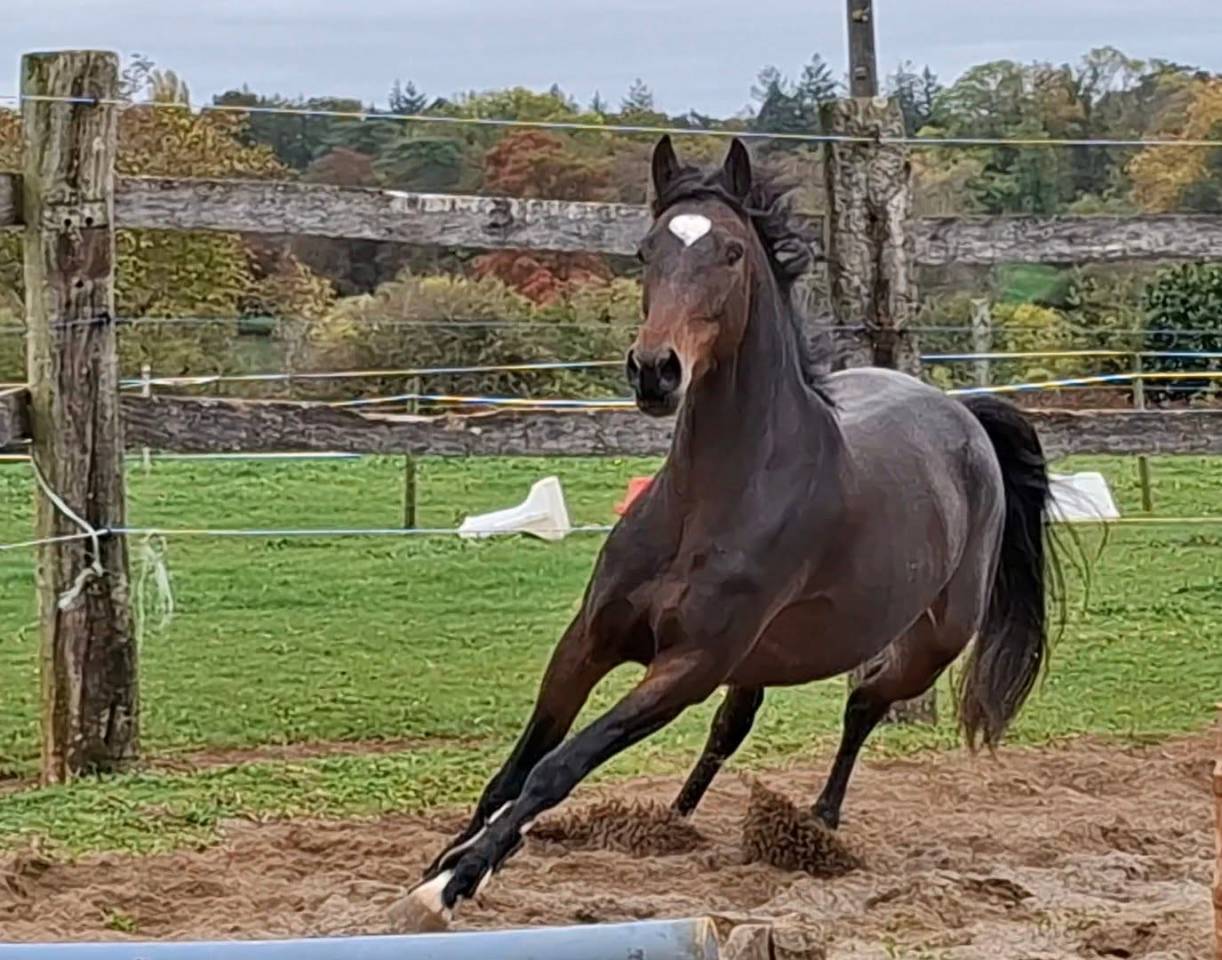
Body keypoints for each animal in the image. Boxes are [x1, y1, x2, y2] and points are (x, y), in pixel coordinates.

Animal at [397, 134, 1060, 928]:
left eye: (734, 252)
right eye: (647, 249)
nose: (655, 371)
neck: (709, 500)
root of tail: (964, 413)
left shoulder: (688, 666)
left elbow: (560, 765)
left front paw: (454, 882)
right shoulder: (589, 639)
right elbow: (522, 760)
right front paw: (448, 859)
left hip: (929, 644)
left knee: (862, 704)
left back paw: (818, 822)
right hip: (766, 654)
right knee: (737, 722)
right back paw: (675, 817)